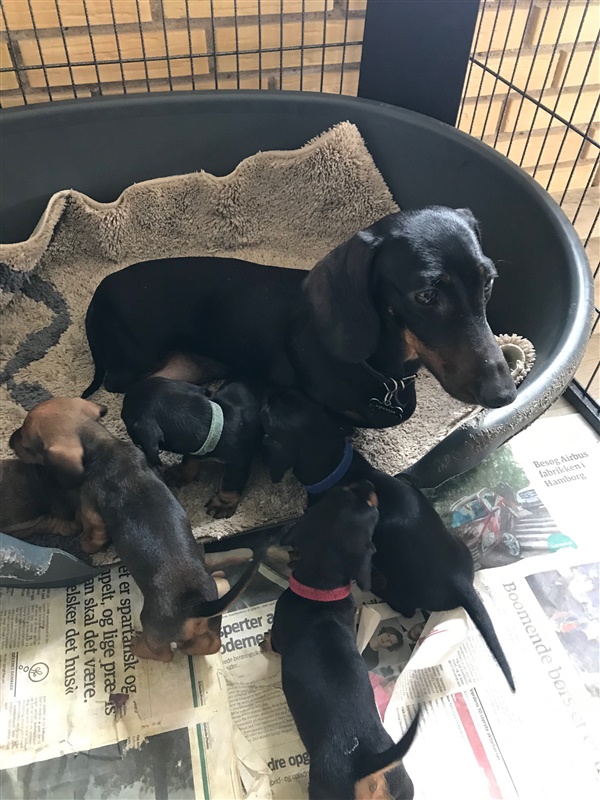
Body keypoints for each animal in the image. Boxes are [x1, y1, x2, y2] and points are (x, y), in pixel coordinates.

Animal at [9, 397, 265, 661]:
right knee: (210, 643)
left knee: (165, 654)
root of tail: (197, 606)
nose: (9, 439)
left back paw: (136, 645)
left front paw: (85, 545)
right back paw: (222, 579)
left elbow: (92, 533)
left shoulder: (91, 509)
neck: (104, 445)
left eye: (27, 444)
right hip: (212, 617)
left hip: (153, 627)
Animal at [82, 207, 516, 427]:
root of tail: (95, 299)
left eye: (489, 283)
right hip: (138, 358)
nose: (504, 395)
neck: (382, 372)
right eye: (426, 295)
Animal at [121, 377, 263, 518]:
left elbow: (231, 483)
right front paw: (181, 474)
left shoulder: (238, 463)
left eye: (123, 416)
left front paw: (222, 503)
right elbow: (189, 459)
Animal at [261, 390, 515, 691]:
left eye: (273, 415)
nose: (268, 395)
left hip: (405, 593)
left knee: (403, 606)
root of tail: (459, 581)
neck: (337, 467)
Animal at [263, 482, 421, 799]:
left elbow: (272, 644)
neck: (319, 589)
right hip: (403, 784)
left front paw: (262, 644)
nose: (369, 483)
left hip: (323, 787)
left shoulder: (279, 631)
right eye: (346, 488)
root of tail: (367, 766)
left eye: (371, 504)